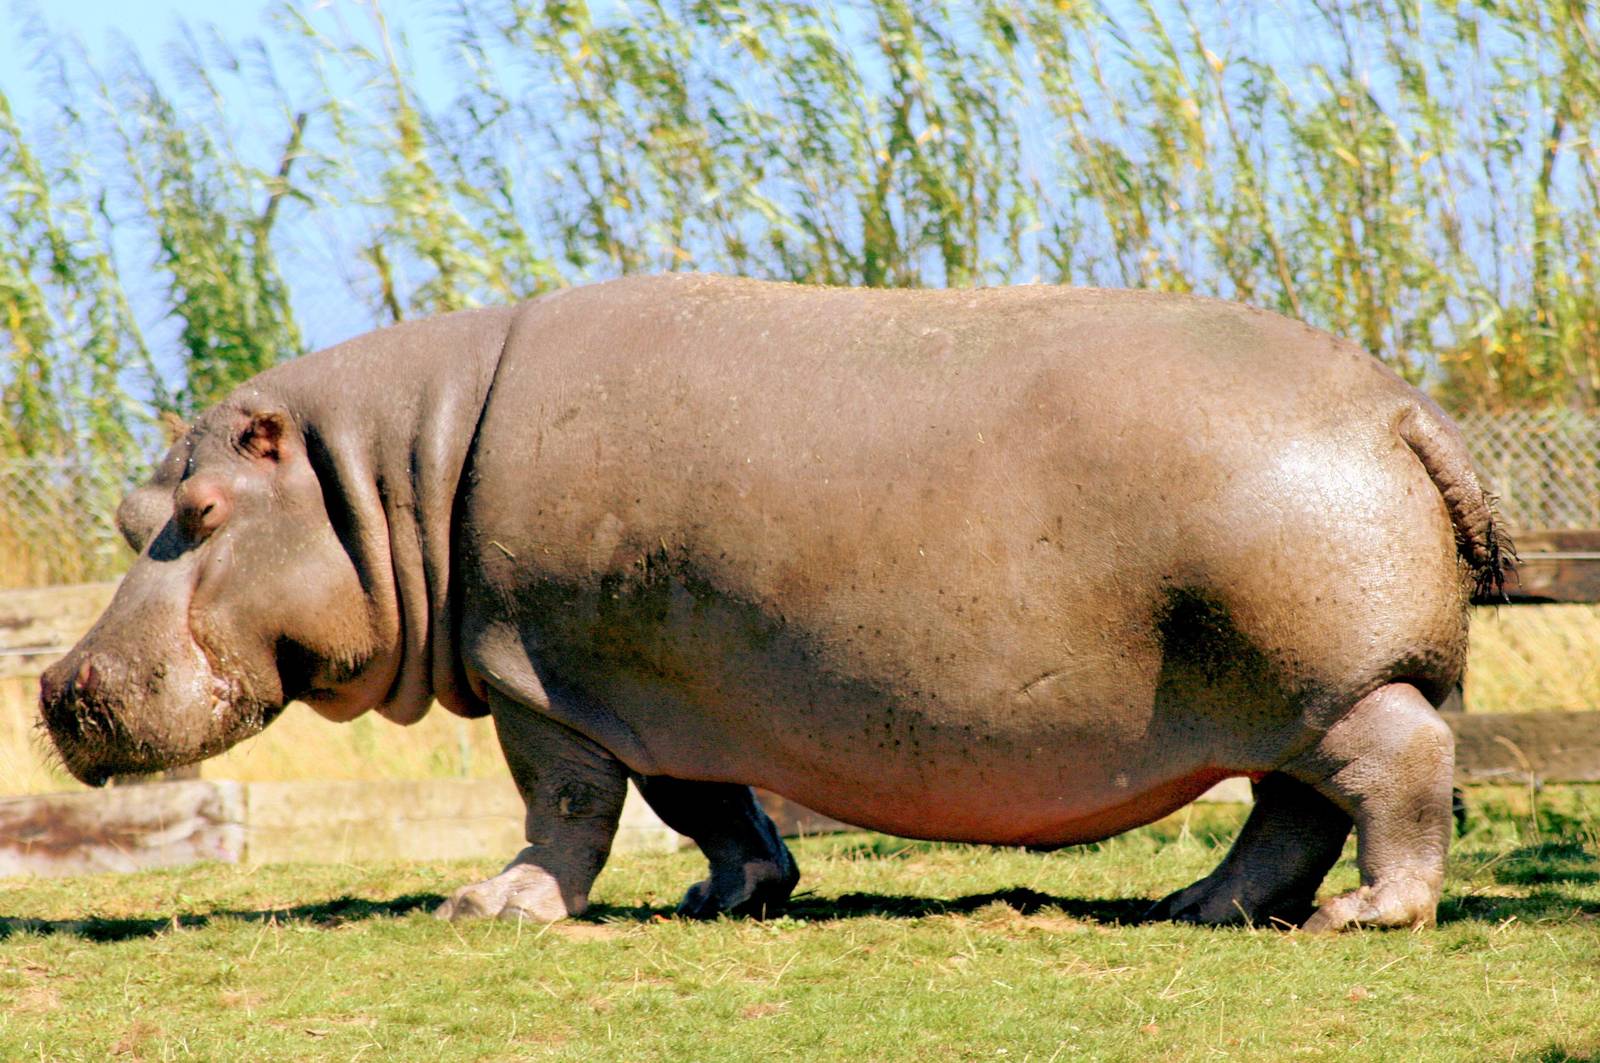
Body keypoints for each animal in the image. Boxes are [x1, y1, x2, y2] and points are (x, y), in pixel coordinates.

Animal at [40, 274, 1505, 931]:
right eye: (129, 508)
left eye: (201, 511)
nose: (57, 685)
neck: (393, 473)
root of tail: (1401, 402)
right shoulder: (655, 692)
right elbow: (707, 804)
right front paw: (732, 893)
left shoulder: (536, 673)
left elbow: (564, 805)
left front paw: (490, 904)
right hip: (1285, 687)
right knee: (1289, 811)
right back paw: (1200, 907)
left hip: (1324, 679)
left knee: (1392, 773)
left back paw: (1364, 918)